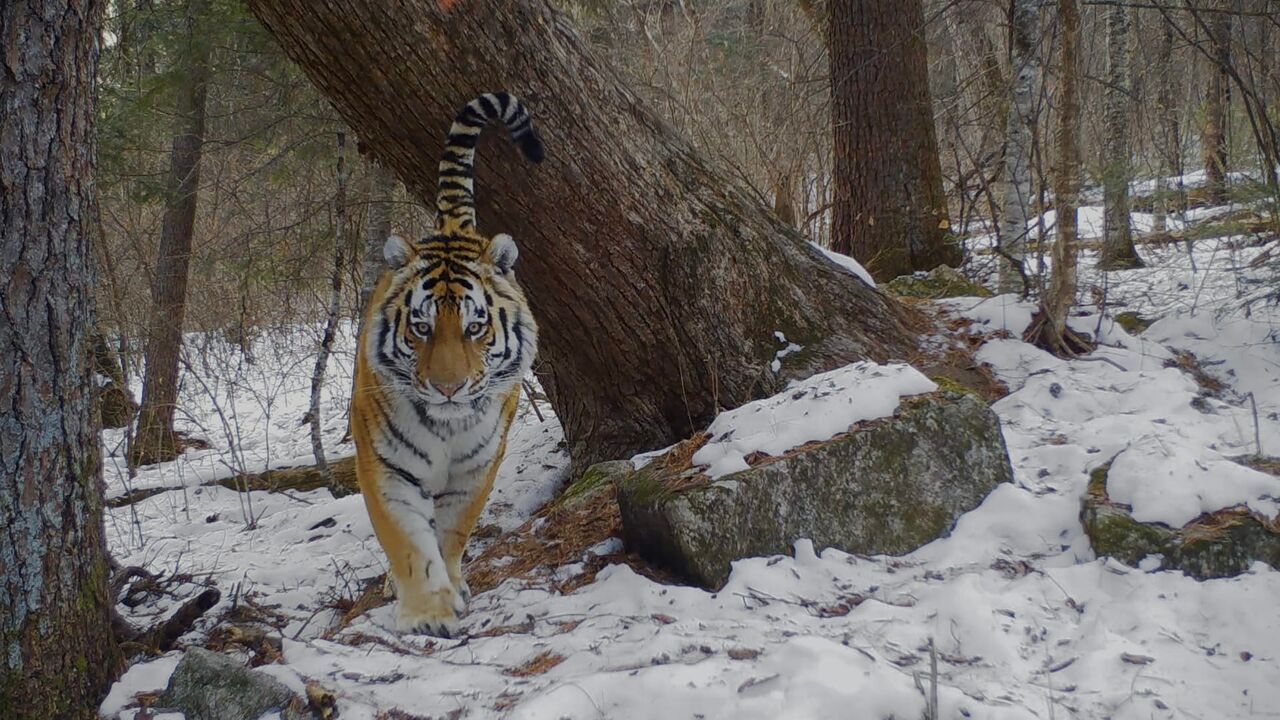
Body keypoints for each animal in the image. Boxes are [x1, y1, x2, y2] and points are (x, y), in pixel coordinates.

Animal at [350, 92, 543, 637]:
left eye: (475, 328)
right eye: (421, 327)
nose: (449, 388)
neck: (446, 426)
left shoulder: (476, 467)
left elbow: (453, 533)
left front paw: (452, 589)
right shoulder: (386, 466)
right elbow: (408, 541)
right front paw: (427, 612)